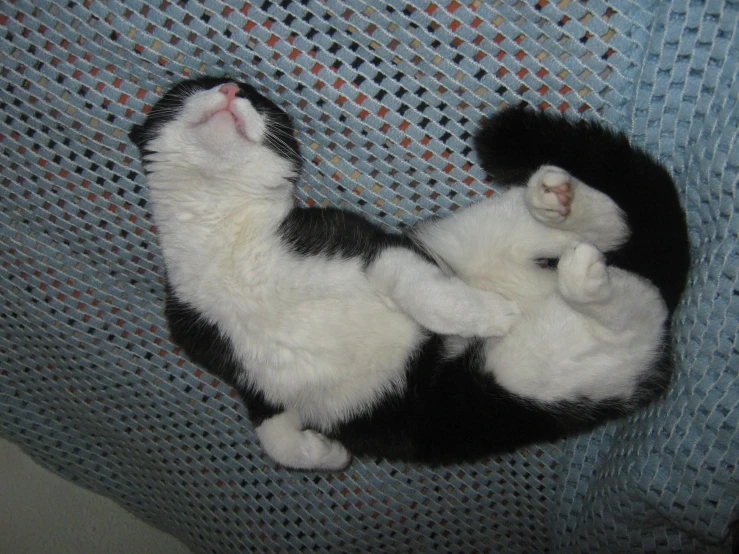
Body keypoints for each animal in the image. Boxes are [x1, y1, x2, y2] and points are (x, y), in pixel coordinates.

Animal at [130, 75, 692, 468]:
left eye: (259, 103)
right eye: (194, 87)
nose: (231, 89)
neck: (226, 237)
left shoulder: (370, 246)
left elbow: (409, 284)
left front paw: (483, 315)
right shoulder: (226, 358)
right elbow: (269, 431)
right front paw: (324, 453)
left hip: (488, 270)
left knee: (625, 260)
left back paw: (564, 230)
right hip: (517, 363)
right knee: (626, 284)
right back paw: (563, 226)